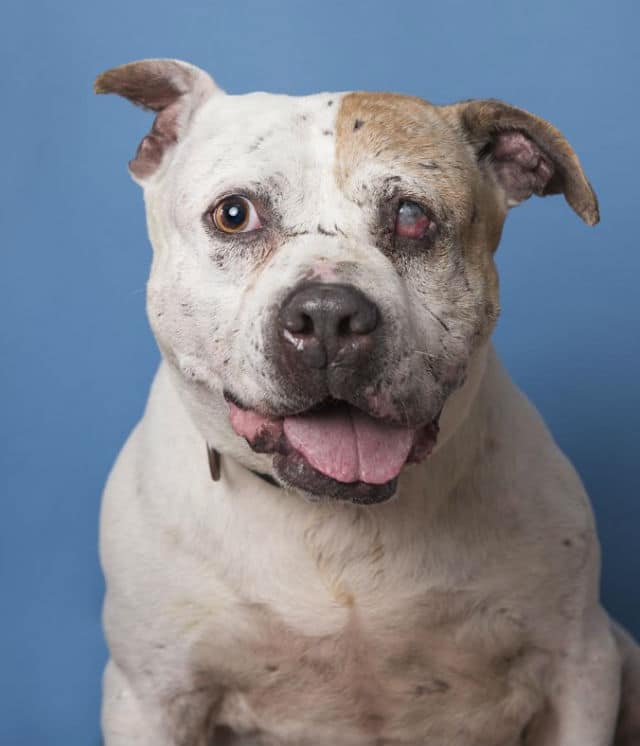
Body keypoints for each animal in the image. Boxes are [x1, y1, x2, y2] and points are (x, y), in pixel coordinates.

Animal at [95, 59, 640, 744]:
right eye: (234, 214)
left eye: (411, 215)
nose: (329, 316)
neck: (335, 521)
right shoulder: (150, 696)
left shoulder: (580, 667)